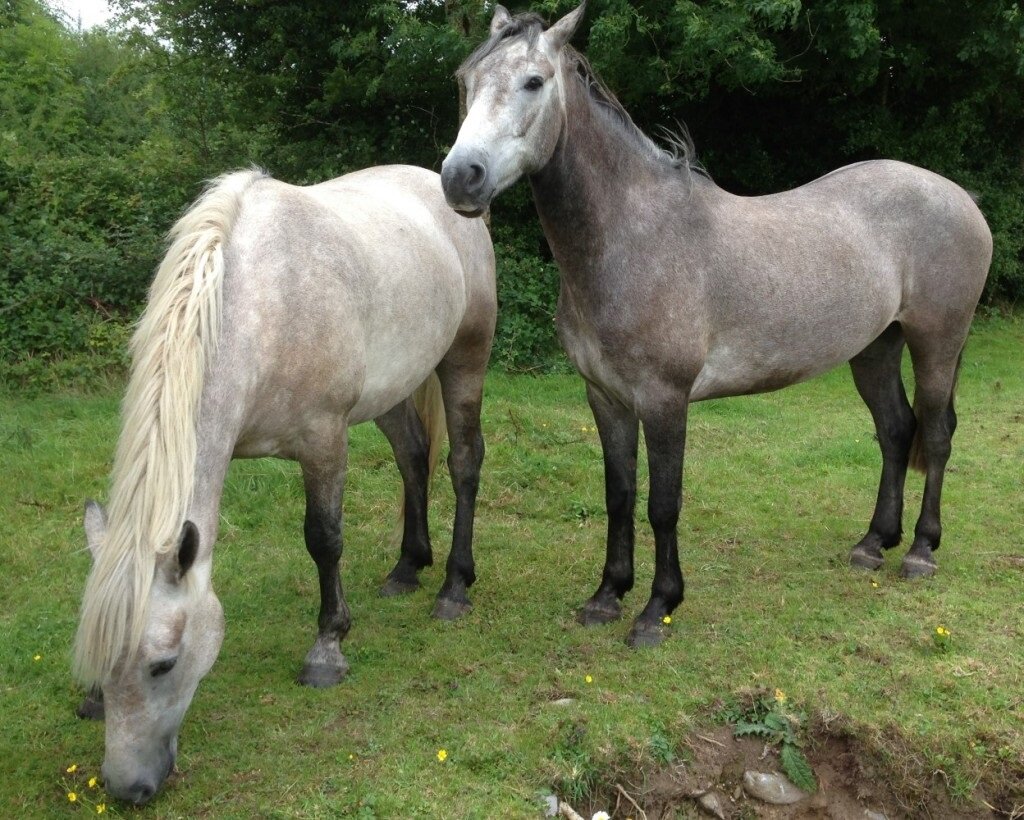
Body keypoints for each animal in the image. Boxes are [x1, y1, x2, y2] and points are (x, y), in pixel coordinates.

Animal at [74, 164, 497, 798]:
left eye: (163, 664)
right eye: (100, 661)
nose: (128, 789)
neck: (258, 310)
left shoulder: (324, 440)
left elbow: (324, 539)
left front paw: (327, 651)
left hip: (465, 361)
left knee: (463, 463)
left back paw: (452, 588)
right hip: (391, 389)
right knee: (413, 457)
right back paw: (406, 567)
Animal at [440, 4, 991, 646]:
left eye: (534, 82)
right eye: (466, 80)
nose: (461, 177)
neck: (632, 238)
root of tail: (960, 196)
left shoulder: (664, 399)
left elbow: (663, 504)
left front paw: (657, 608)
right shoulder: (606, 396)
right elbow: (619, 495)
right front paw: (607, 595)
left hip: (937, 342)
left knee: (937, 433)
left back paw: (922, 551)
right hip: (876, 348)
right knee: (897, 430)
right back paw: (873, 543)